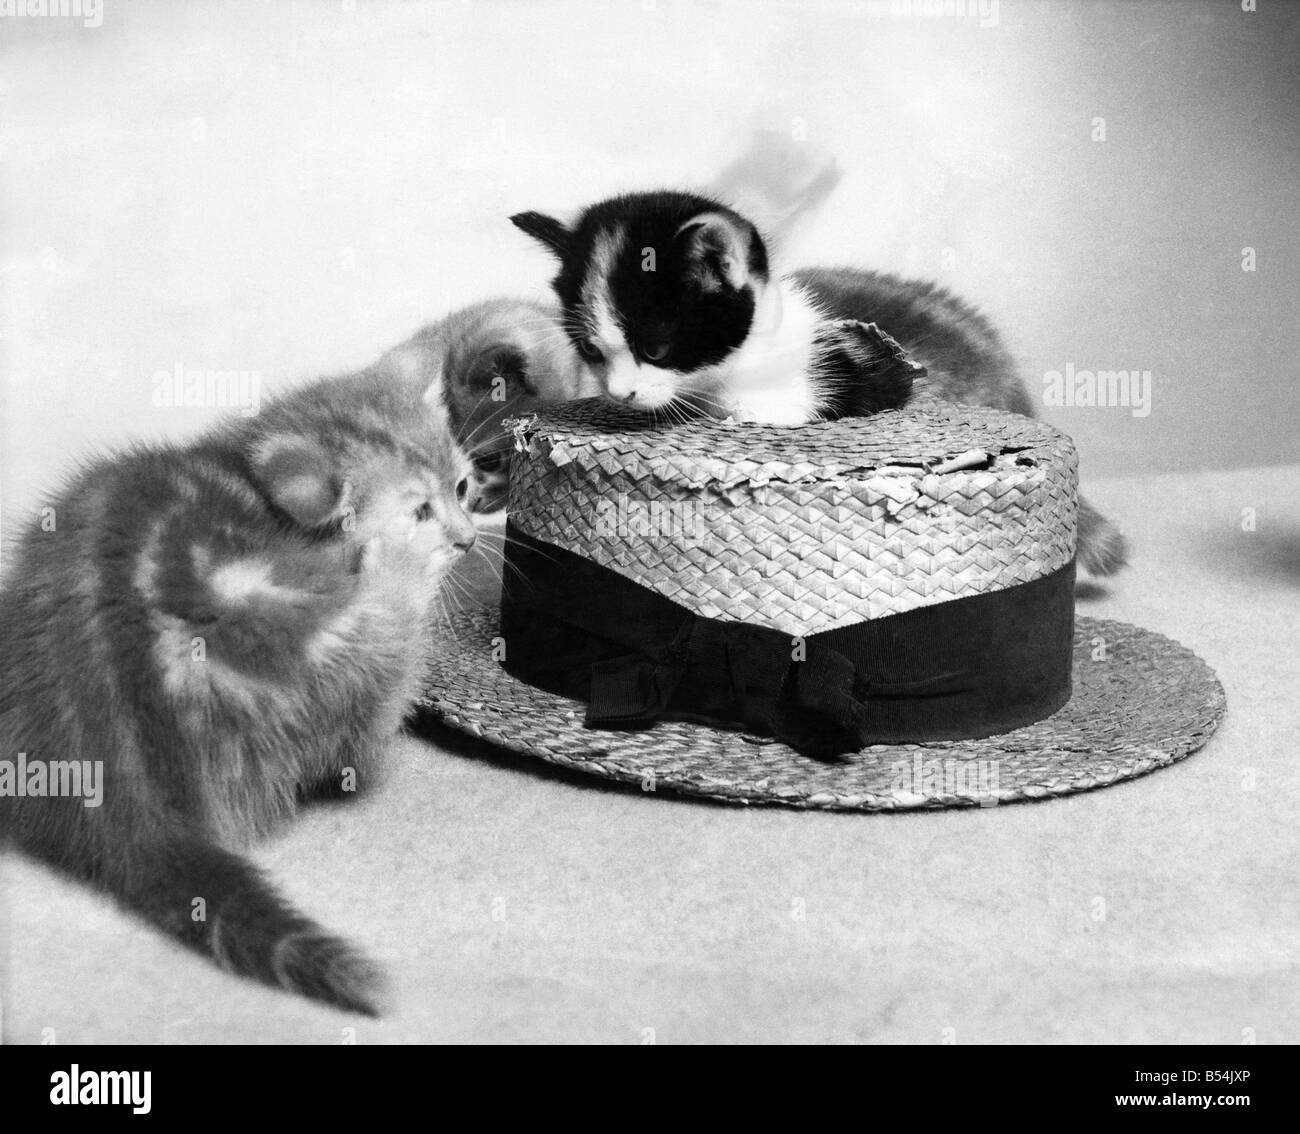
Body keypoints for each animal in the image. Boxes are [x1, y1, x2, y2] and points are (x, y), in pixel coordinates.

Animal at [0, 361, 478, 1009]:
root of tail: (127, 801)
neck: (244, 466)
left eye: (463, 487)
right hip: (343, 651)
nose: (469, 538)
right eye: (420, 512)